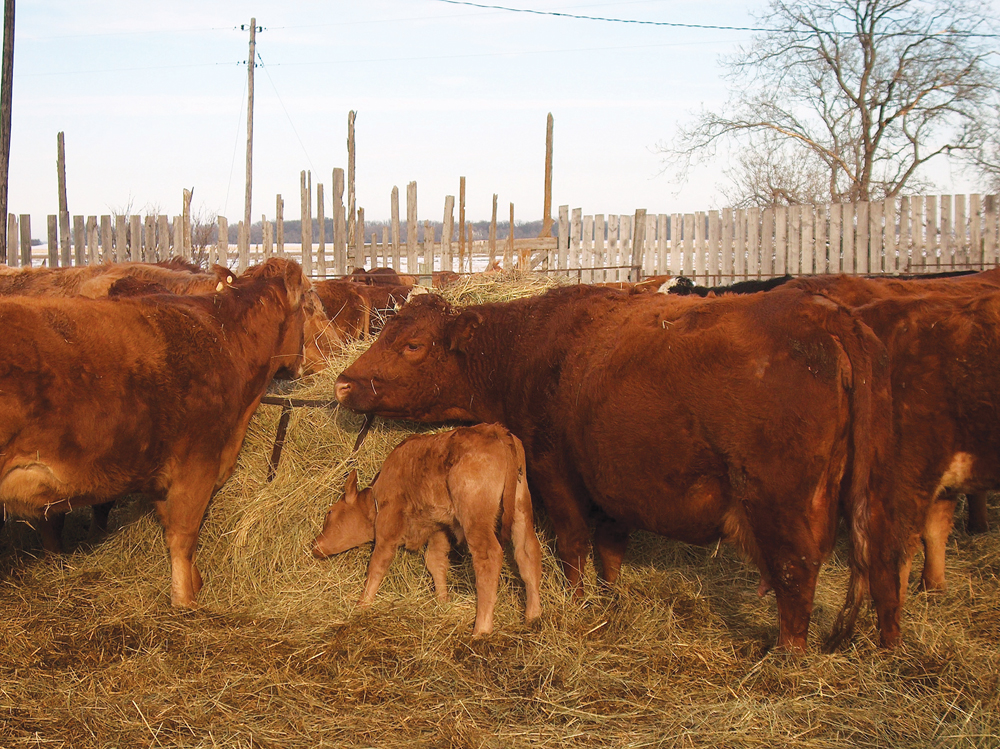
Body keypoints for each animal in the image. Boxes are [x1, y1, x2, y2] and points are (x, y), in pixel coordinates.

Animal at [0, 257, 309, 606]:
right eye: (308, 302)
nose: (308, 362)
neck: (224, 338)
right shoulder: (197, 464)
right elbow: (183, 535)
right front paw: (185, 602)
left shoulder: (163, 473)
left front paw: (194, 583)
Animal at [312, 424, 542, 635]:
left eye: (329, 513)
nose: (315, 545)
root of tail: (494, 429)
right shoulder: (438, 528)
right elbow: (435, 561)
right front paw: (443, 601)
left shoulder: (389, 521)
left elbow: (378, 563)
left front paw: (361, 605)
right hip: (521, 506)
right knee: (527, 552)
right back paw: (533, 616)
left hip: (475, 514)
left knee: (488, 556)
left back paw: (481, 630)